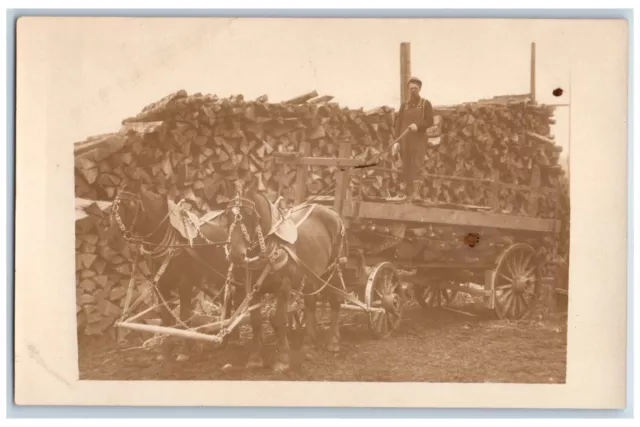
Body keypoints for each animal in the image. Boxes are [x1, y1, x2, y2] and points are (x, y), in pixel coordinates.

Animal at [105, 182, 240, 362]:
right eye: (113, 208)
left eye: (131, 206)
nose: (111, 239)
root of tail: (226, 234)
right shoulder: (161, 285)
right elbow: (166, 319)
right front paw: (165, 351)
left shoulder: (185, 283)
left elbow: (183, 315)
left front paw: (186, 350)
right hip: (205, 281)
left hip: (220, 277)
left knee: (229, 297)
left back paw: (225, 337)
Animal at [222, 179, 348, 372]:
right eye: (228, 215)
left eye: (250, 215)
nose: (236, 254)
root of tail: (332, 211)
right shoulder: (252, 290)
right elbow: (256, 321)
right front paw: (255, 358)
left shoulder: (284, 287)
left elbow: (279, 319)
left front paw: (282, 359)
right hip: (311, 275)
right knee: (310, 303)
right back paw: (309, 343)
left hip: (332, 269)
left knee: (335, 299)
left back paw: (333, 341)